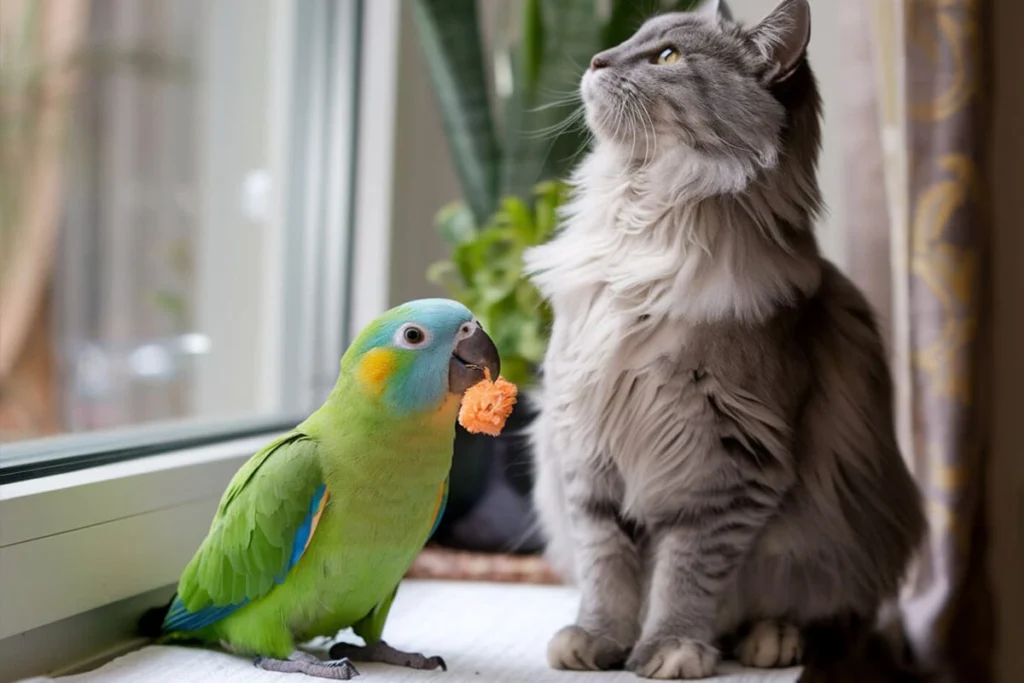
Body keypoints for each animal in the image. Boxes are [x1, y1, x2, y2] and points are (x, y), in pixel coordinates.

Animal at [524, 0, 933, 679]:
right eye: (629, 40)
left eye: (667, 57)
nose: (596, 60)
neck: (643, 229)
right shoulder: (587, 447)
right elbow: (607, 567)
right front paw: (598, 640)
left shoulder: (730, 462)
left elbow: (685, 574)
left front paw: (669, 648)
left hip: (836, 547)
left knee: (815, 612)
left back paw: (770, 640)